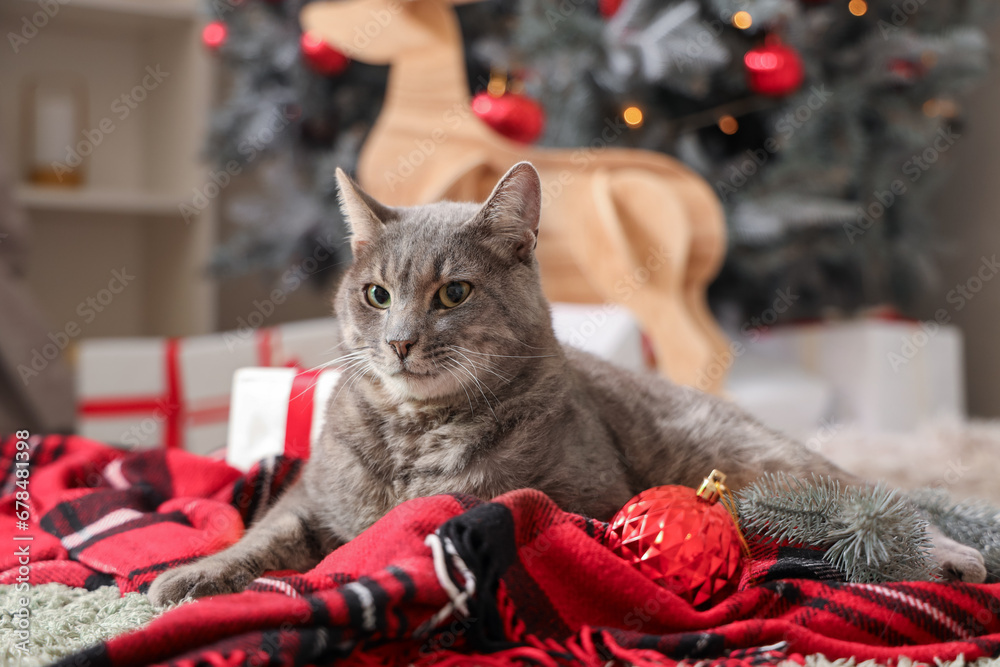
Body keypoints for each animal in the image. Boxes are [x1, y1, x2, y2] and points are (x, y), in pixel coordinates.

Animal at [148, 160, 984, 604]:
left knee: (873, 507)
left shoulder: (579, 496)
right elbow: (265, 532)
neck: (417, 433)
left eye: (454, 292)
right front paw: (192, 574)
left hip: (766, 472)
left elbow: (428, 519)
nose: (400, 341)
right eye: (377, 294)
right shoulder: (306, 496)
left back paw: (950, 557)